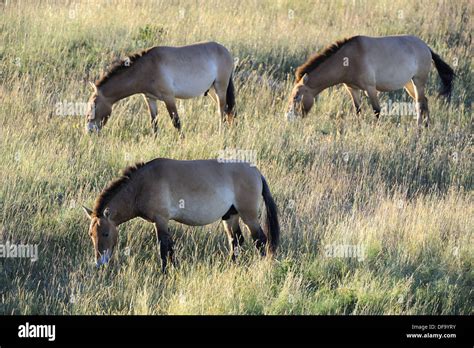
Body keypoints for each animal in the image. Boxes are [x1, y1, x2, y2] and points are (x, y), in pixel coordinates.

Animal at [83, 158, 280, 272]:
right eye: (90, 235)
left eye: (105, 233)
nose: (99, 263)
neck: (142, 185)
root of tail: (256, 172)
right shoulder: (161, 222)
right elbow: (170, 247)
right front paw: (174, 269)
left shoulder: (161, 220)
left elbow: (163, 248)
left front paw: (164, 273)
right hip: (230, 216)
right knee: (236, 241)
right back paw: (232, 266)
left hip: (249, 217)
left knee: (260, 241)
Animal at [84, 42, 235, 136]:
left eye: (93, 105)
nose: (89, 131)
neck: (147, 67)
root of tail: (226, 51)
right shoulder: (150, 99)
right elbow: (154, 123)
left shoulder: (169, 98)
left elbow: (176, 122)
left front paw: (182, 141)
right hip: (212, 91)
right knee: (227, 111)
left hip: (220, 88)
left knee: (222, 111)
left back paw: (221, 134)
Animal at [286, 35, 456, 126]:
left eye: (296, 96)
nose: (288, 118)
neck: (349, 59)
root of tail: (426, 47)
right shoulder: (352, 89)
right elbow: (358, 110)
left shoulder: (370, 88)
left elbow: (376, 111)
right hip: (409, 84)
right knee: (424, 101)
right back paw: (426, 126)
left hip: (418, 82)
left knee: (419, 104)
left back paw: (418, 129)